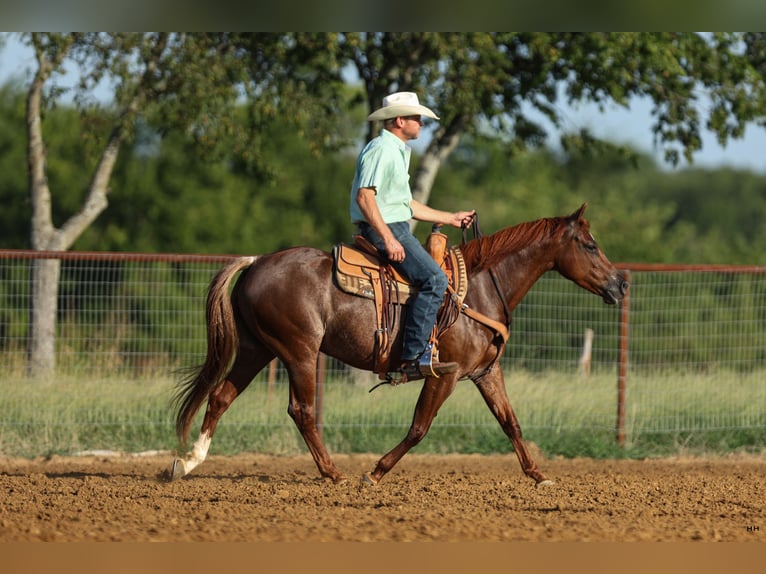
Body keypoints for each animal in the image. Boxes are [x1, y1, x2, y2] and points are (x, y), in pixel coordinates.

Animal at [170, 205, 632, 488]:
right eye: (590, 245)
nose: (620, 284)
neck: (481, 288)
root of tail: (255, 263)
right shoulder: (445, 374)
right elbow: (418, 427)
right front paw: (374, 473)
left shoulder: (486, 372)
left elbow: (510, 424)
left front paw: (538, 475)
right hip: (299, 353)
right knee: (301, 410)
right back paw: (334, 474)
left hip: (256, 350)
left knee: (221, 395)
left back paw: (186, 462)